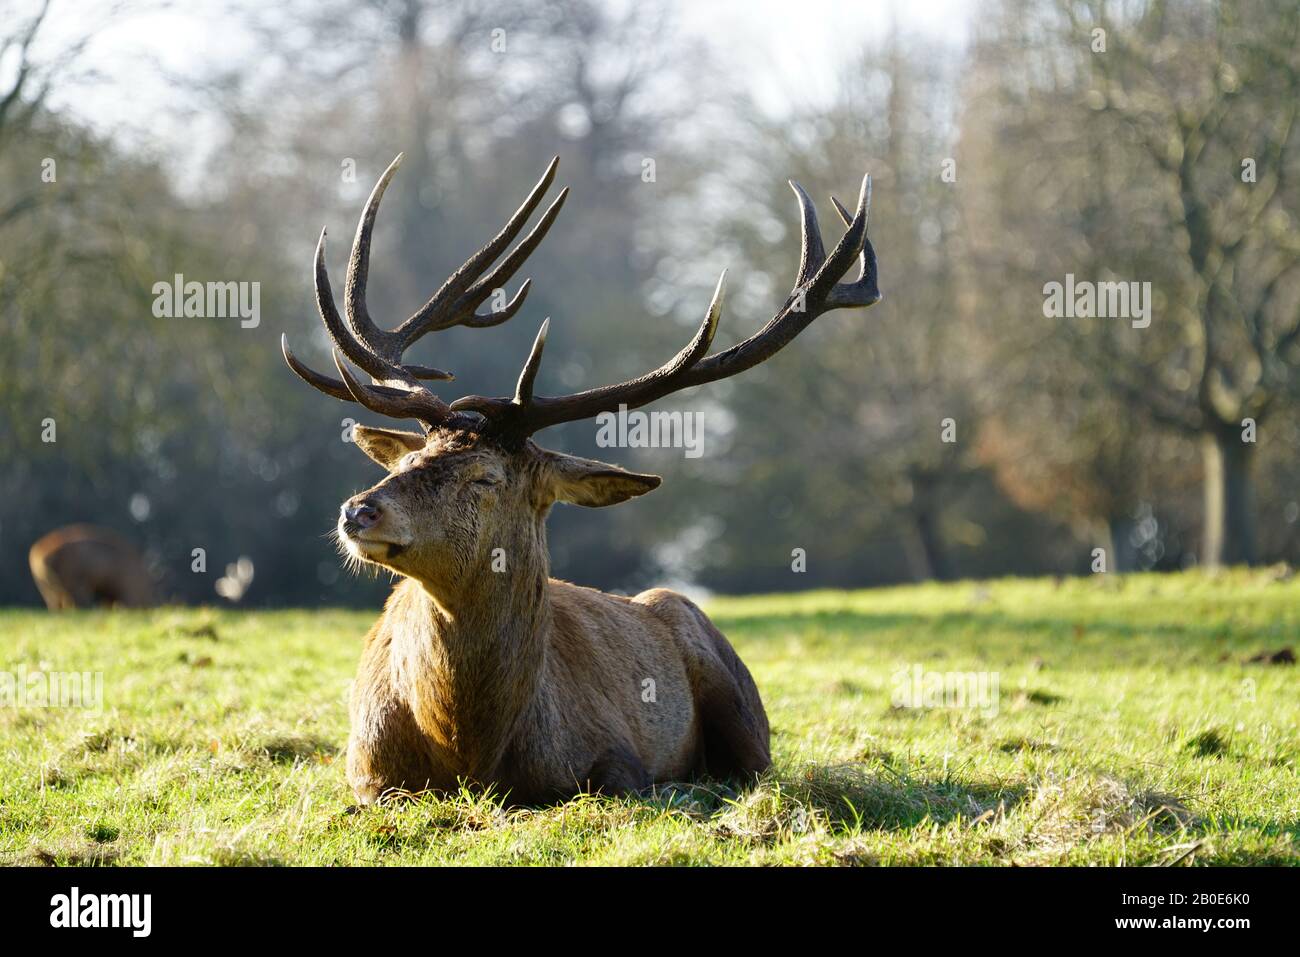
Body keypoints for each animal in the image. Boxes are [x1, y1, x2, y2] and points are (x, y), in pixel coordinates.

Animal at [281, 154, 880, 805]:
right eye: (404, 463)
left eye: (485, 478)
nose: (358, 511)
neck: (468, 749)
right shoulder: (364, 770)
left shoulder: (616, 756)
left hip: (735, 693)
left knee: (751, 766)